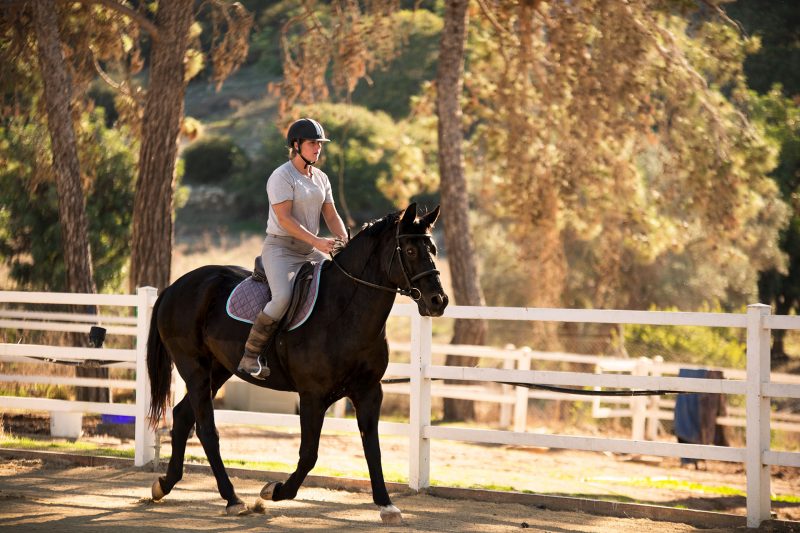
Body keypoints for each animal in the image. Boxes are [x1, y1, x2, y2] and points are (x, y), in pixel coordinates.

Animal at [146, 203, 448, 524]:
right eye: (411, 251)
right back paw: (232, 499)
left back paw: (164, 485)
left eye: (432, 249)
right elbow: (309, 454)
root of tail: (175, 286)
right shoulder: (312, 396)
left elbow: (372, 448)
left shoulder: (368, 392)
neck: (343, 310)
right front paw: (274, 490)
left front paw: (386, 505)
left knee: (182, 417)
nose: (438, 301)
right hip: (195, 369)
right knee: (206, 430)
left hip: (218, 370)